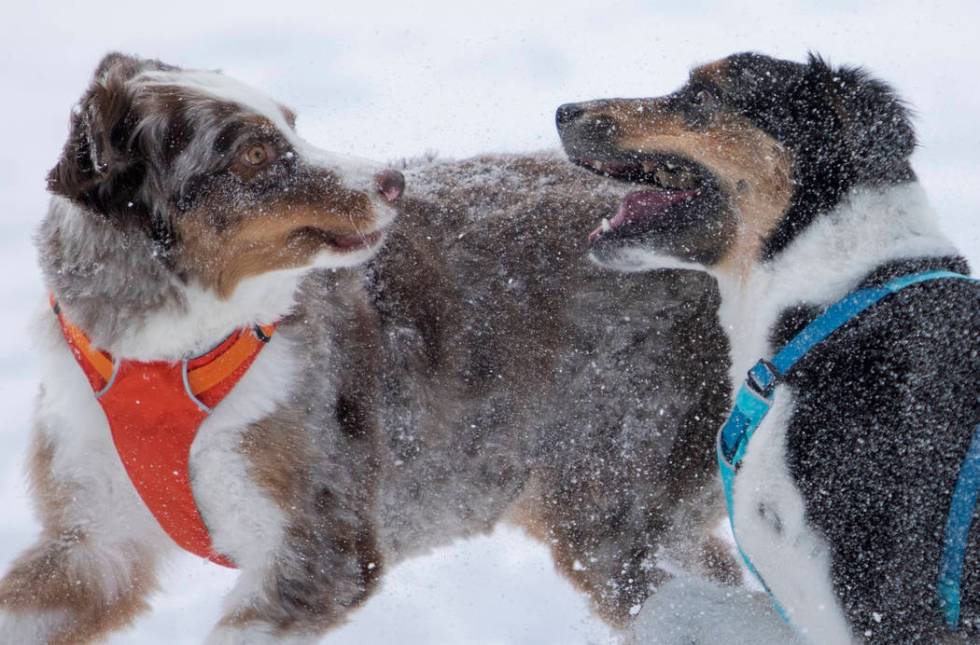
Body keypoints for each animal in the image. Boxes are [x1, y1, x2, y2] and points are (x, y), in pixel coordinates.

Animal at [0, 52, 732, 640]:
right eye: (253, 154)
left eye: (292, 124)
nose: (392, 182)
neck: (170, 354)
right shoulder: (91, 539)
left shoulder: (321, 547)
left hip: (614, 490)